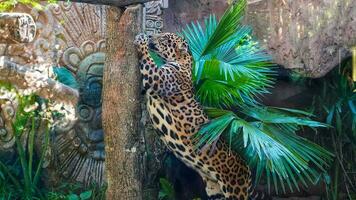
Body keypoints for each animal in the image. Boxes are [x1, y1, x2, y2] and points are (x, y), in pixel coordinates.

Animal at [134, 32, 253, 200]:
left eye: (164, 38)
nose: (152, 36)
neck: (184, 60)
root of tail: (248, 169)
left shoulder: (157, 77)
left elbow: (148, 60)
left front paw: (142, 39)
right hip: (215, 190)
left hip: (235, 189)